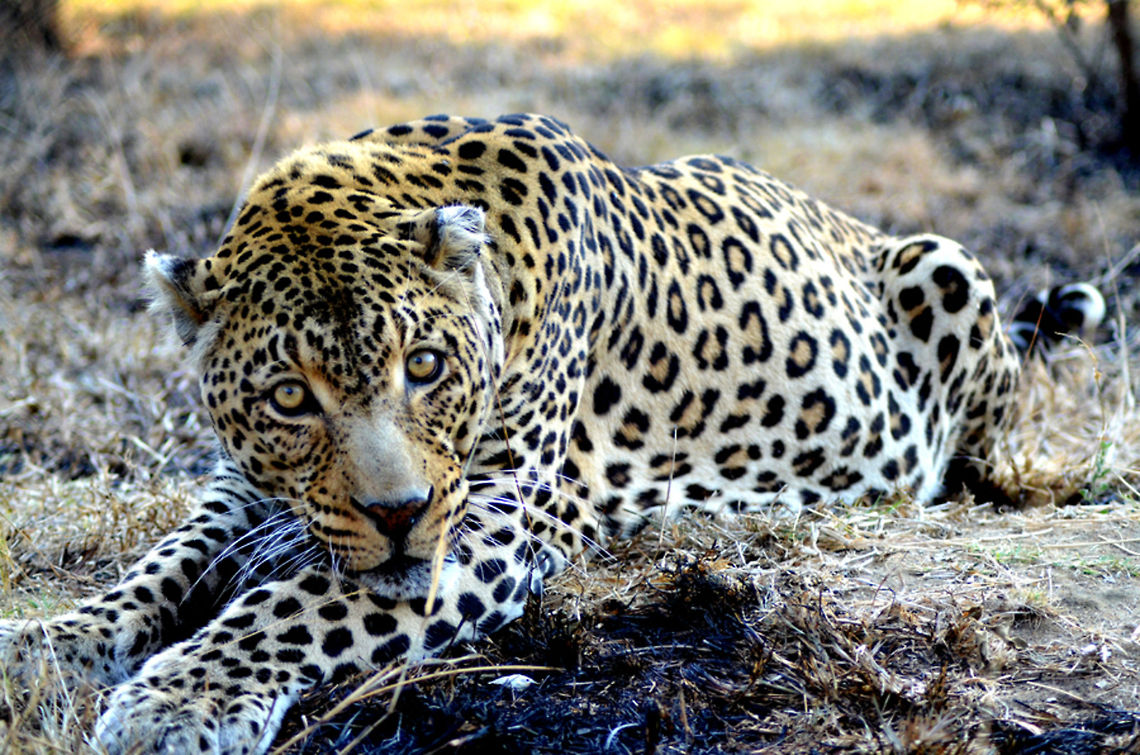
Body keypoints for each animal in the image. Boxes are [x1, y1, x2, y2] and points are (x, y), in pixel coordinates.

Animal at [2, 112, 1043, 753]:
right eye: (291, 398)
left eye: (424, 365)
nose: (397, 513)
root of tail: (850, 220)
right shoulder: (247, 487)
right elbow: (154, 570)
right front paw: (46, 641)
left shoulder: (495, 515)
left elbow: (292, 604)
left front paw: (180, 701)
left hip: (944, 264)